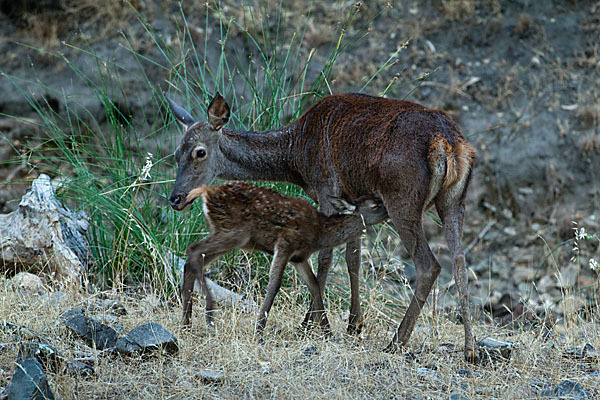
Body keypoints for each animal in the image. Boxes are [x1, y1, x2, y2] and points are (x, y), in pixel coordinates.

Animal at [178, 181, 386, 334]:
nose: (390, 211)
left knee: (193, 259)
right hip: (235, 232)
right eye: (376, 205)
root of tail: (206, 191)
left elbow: (314, 284)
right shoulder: (286, 242)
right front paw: (259, 331)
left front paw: (327, 332)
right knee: (194, 250)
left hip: (225, 232)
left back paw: (186, 323)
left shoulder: (299, 257)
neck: (319, 233)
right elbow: (275, 283)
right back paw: (209, 312)